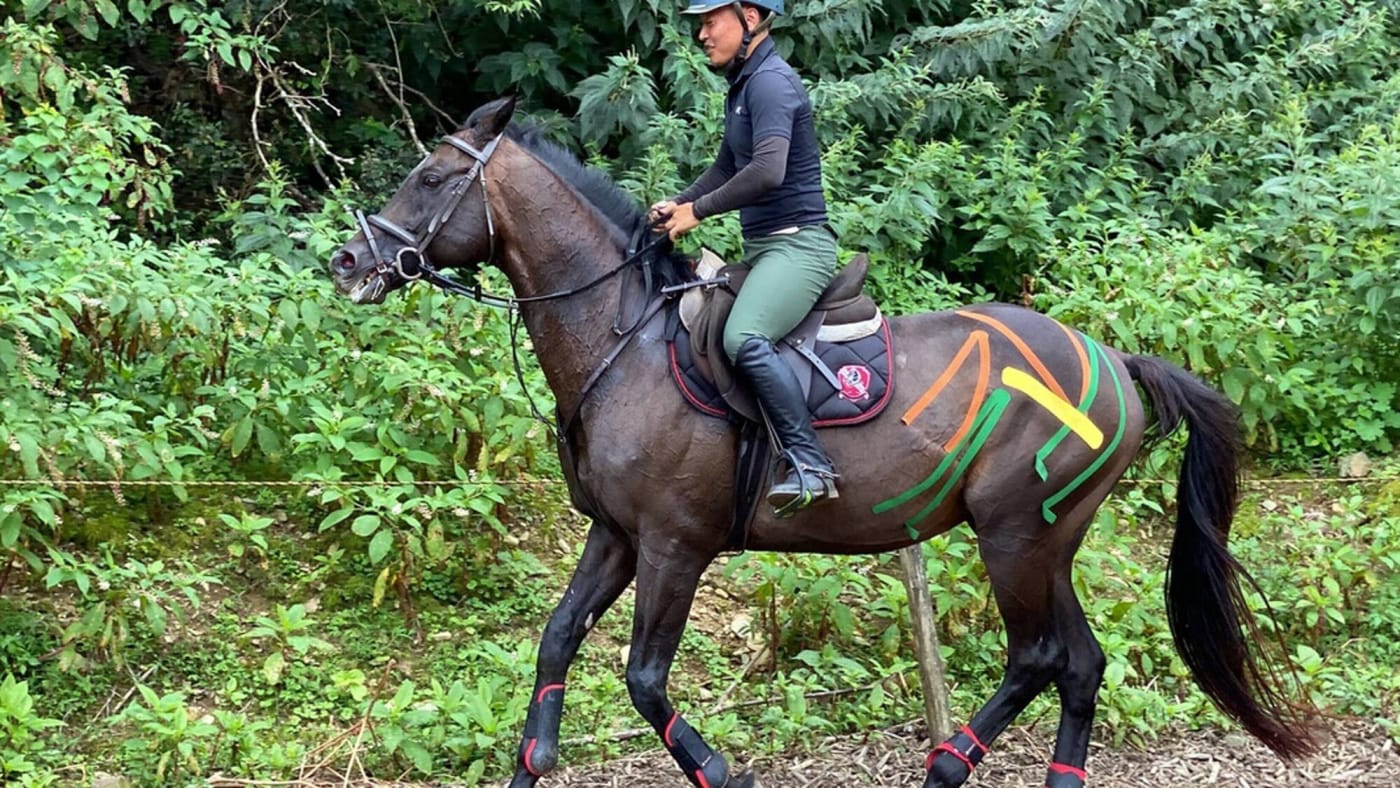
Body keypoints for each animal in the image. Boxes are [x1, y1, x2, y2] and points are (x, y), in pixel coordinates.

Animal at [329, 96, 1316, 788]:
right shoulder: (614, 535)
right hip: (1045, 541)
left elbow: (644, 677)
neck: (625, 340)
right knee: (1079, 663)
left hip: (1016, 536)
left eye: (429, 178)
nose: (348, 262)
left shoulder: (674, 545)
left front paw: (722, 768)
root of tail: (1112, 358)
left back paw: (947, 765)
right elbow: (557, 641)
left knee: (1040, 656)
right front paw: (534, 761)